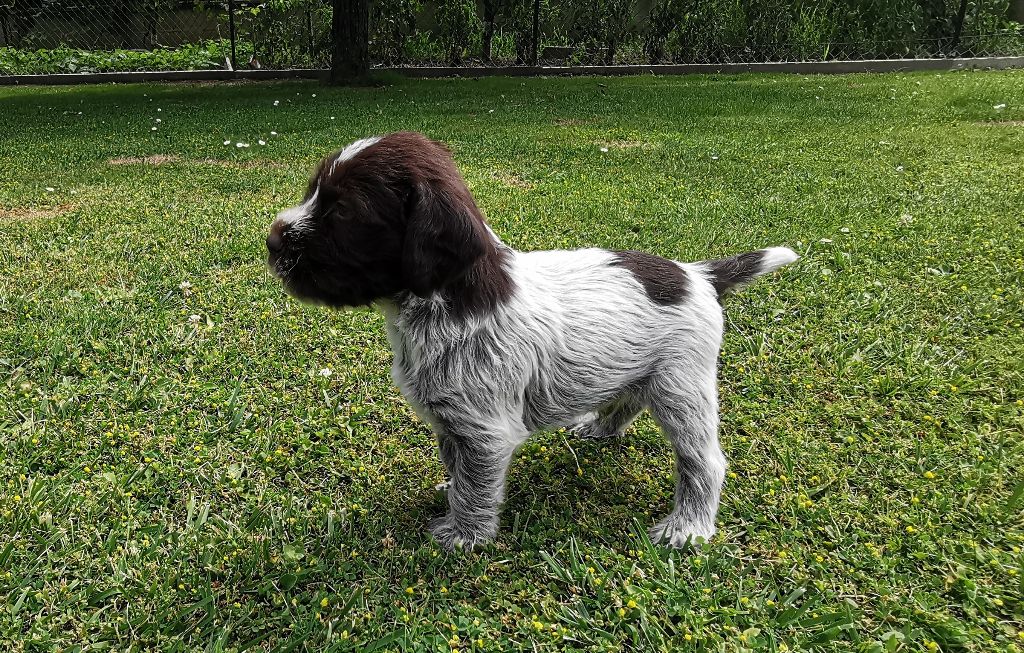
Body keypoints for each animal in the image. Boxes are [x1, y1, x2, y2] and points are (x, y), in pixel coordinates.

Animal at [266, 130, 798, 548]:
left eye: (342, 212)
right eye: (314, 192)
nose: (270, 242)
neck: (446, 301)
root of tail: (697, 274)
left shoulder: (484, 430)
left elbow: (476, 485)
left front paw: (464, 534)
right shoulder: (451, 420)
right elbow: (457, 468)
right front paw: (450, 494)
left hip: (681, 387)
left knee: (703, 462)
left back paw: (688, 526)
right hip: (643, 371)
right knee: (629, 398)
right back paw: (601, 428)